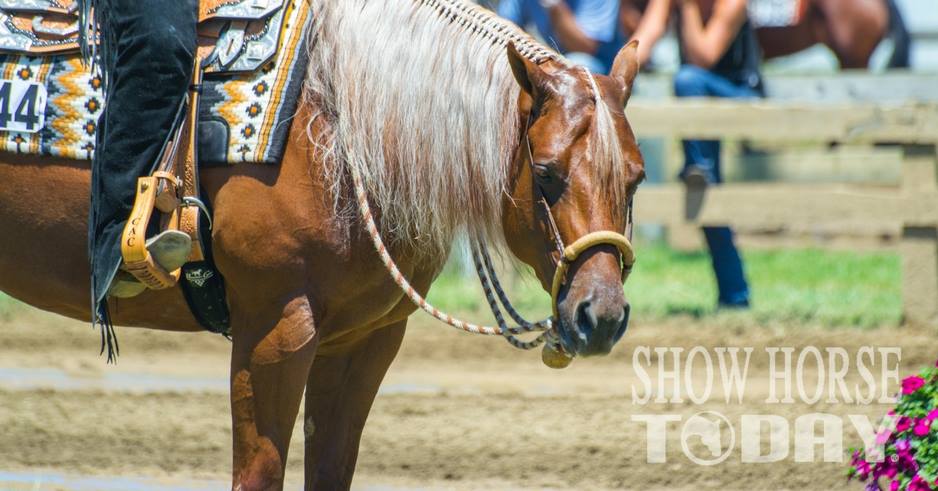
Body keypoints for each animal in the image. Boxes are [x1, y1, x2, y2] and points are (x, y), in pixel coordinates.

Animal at [0, 0, 645, 488]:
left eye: (636, 177)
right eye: (547, 174)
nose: (602, 315)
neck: (343, 125)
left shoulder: (364, 341)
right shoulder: (275, 328)